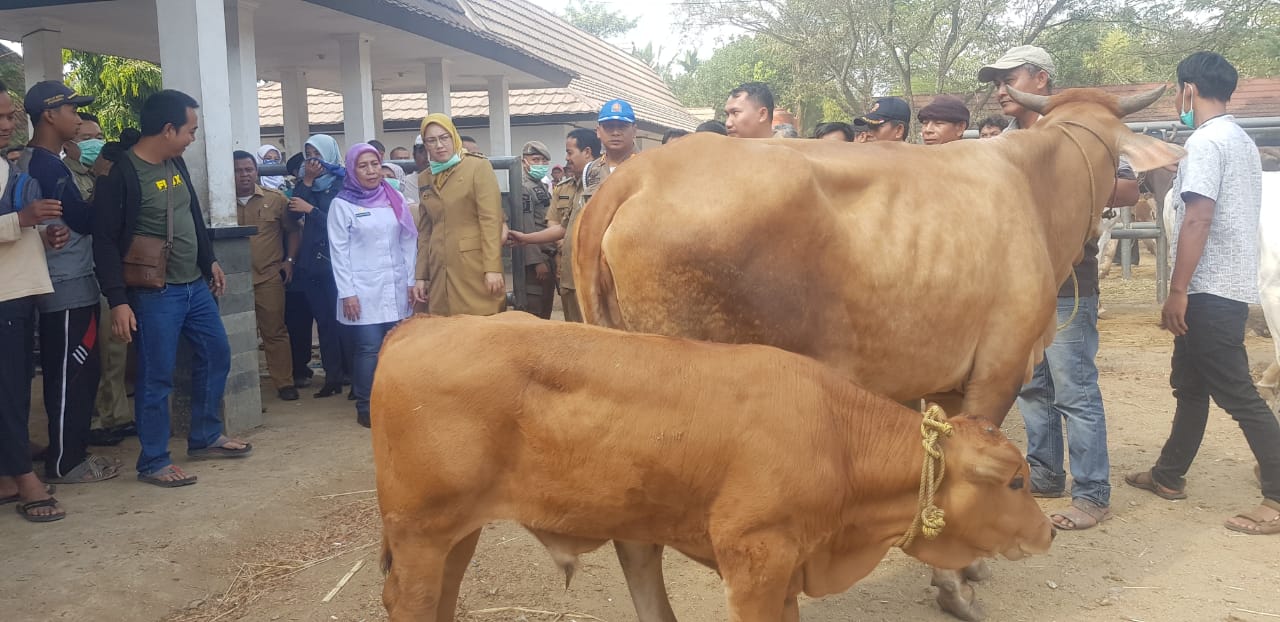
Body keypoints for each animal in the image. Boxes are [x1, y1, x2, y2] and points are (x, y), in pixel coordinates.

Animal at [373, 313, 1054, 622]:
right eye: (1017, 480)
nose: (1049, 529)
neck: (834, 434)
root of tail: (419, 323)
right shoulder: (754, 562)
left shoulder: (785, 569)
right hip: (419, 533)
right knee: (408, 602)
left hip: (455, 535)